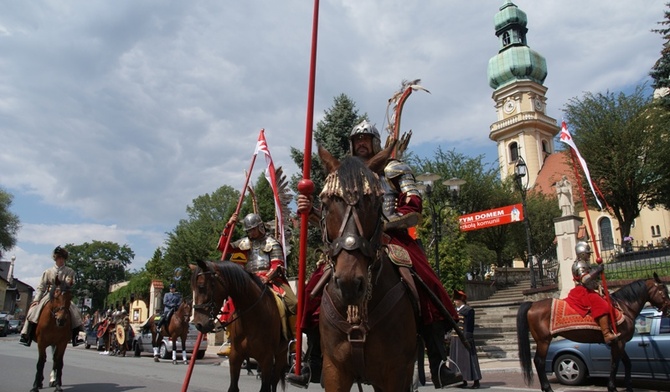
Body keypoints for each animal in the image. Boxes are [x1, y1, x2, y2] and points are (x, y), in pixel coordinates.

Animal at [189, 258, 288, 390]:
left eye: (201, 286)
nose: (198, 325)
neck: (253, 318)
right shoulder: (235, 357)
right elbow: (233, 387)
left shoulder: (267, 359)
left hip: (281, 355)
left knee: (274, 381)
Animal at [520, 274, 670, 392]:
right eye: (663, 290)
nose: (668, 309)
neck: (624, 307)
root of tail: (533, 304)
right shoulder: (618, 342)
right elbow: (615, 364)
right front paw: (612, 387)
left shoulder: (620, 343)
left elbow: (627, 363)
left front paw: (629, 386)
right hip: (543, 340)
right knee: (539, 361)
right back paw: (547, 388)